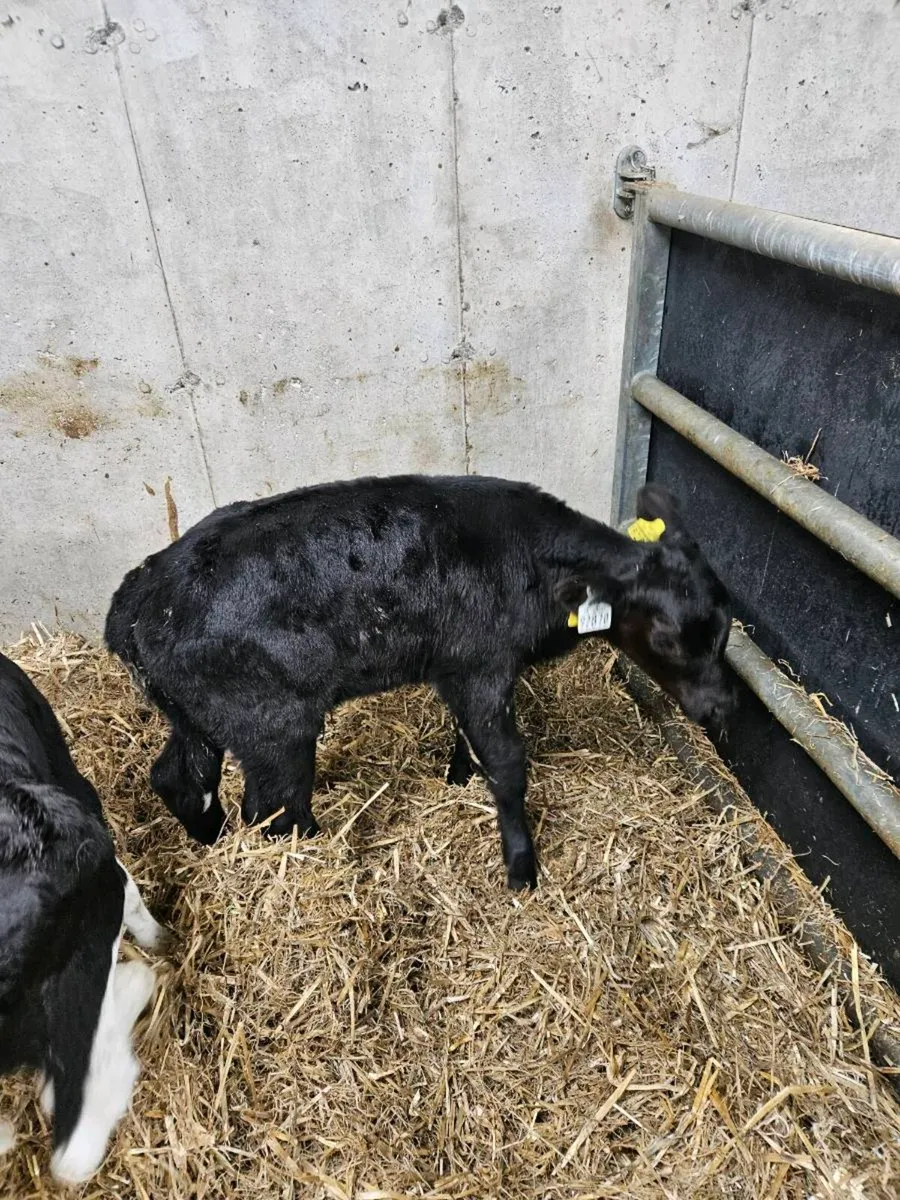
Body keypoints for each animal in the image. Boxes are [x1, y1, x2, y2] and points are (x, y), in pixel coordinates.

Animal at [105, 474, 733, 890]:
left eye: (726, 628)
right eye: (669, 639)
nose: (720, 708)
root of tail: (139, 597)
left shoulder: (458, 671)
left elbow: (468, 740)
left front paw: (456, 779)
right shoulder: (481, 665)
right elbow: (507, 764)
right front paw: (521, 869)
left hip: (197, 712)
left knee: (179, 777)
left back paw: (209, 840)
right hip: (271, 723)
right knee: (271, 808)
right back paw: (315, 854)